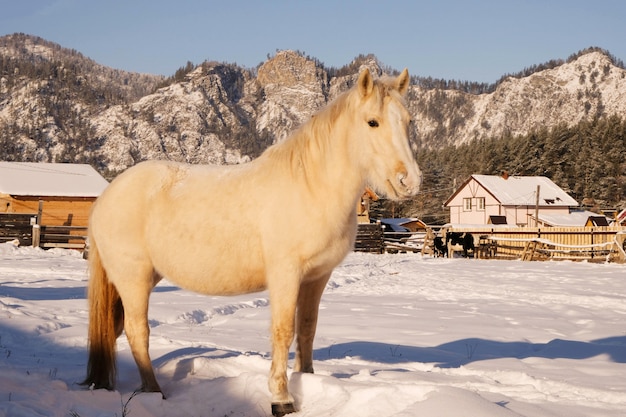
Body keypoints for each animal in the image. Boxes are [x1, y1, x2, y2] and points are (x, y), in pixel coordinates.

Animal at [83, 67, 420, 412]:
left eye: (408, 121)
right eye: (372, 122)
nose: (409, 181)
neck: (310, 187)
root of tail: (106, 197)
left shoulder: (317, 277)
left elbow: (307, 329)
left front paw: (307, 378)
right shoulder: (285, 275)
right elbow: (283, 331)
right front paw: (282, 399)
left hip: (145, 277)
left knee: (117, 328)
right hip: (133, 278)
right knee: (137, 331)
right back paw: (154, 391)